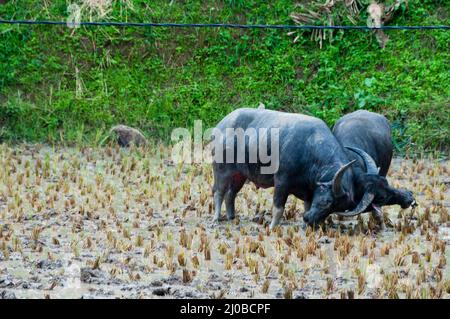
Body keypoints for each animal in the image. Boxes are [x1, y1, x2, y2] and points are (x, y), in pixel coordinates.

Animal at [211, 109, 414, 229]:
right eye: (328, 202)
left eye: (335, 207)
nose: (309, 219)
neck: (309, 153)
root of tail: (222, 124)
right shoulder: (282, 182)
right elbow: (278, 208)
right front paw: (272, 227)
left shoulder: (309, 191)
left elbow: (306, 205)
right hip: (221, 170)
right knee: (219, 192)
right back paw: (216, 219)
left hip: (240, 175)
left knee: (231, 194)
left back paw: (231, 217)